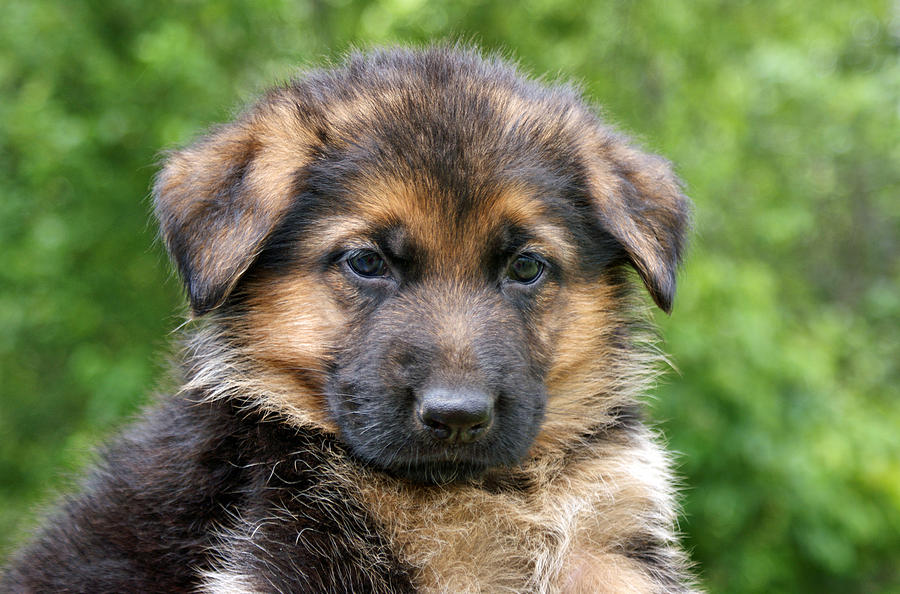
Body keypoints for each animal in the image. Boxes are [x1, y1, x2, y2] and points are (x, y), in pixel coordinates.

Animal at [1, 47, 696, 592]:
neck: (478, 491)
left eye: (526, 267)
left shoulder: (607, 545)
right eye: (366, 262)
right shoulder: (286, 547)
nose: (457, 416)